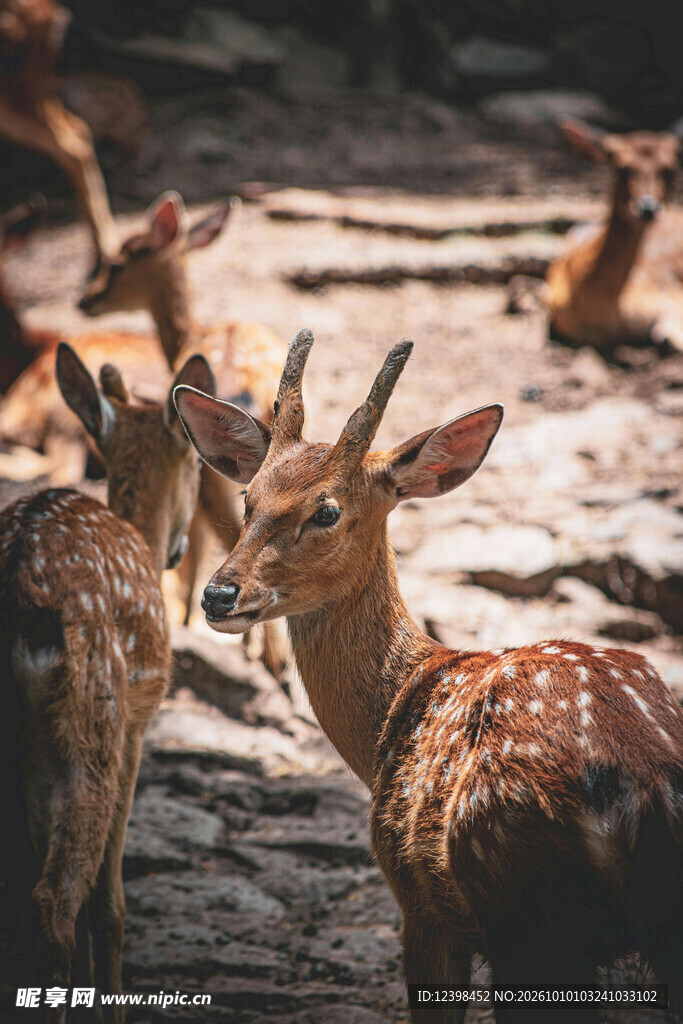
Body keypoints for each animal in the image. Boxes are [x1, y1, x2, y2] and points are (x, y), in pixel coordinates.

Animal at [0, 342, 215, 1023]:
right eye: (196, 469)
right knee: (53, 903)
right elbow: (109, 903)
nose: (178, 548)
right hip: (92, 716)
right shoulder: (136, 728)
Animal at [174, 329, 683, 1023]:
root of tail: (644, 784)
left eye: (326, 512)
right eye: (248, 498)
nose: (219, 594)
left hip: (526, 910)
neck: (393, 716)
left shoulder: (420, 904)